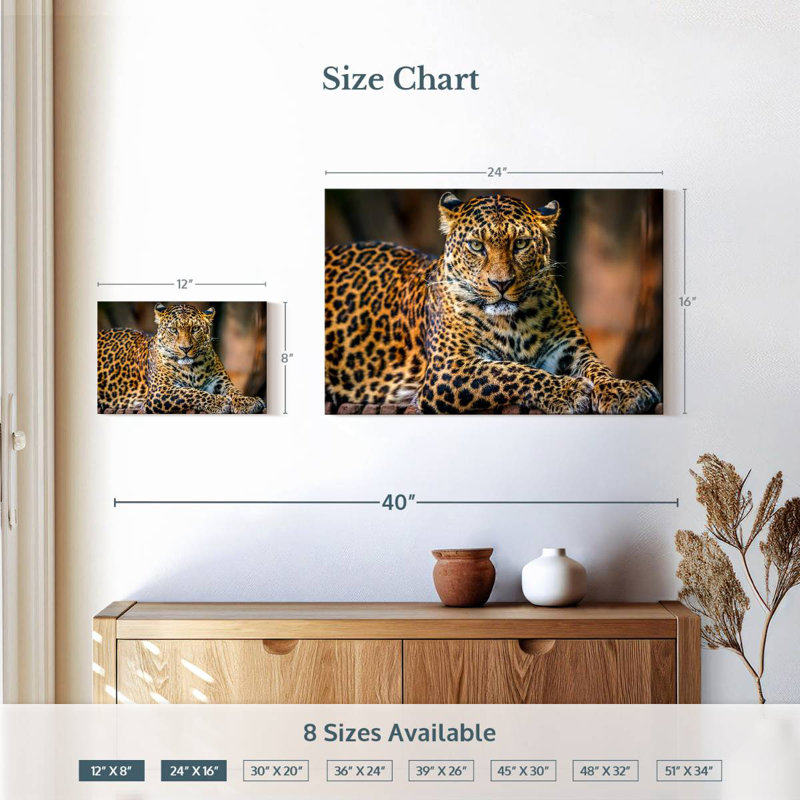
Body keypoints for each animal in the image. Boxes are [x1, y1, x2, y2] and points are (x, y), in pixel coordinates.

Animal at [97, 303, 265, 413]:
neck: (192, 368)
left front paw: (247, 401)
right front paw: (219, 402)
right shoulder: (160, 391)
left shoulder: (220, 381)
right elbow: (190, 392)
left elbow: (234, 390)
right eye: (173, 330)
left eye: (195, 329)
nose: (185, 348)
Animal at [325, 192, 661, 414]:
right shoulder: (449, 370)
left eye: (521, 244)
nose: (501, 284)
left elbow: (599, 369)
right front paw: (568, 390)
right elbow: (510, 372)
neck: (515, 321)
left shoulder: (570, 350)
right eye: (476, 246)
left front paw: (625, 390)